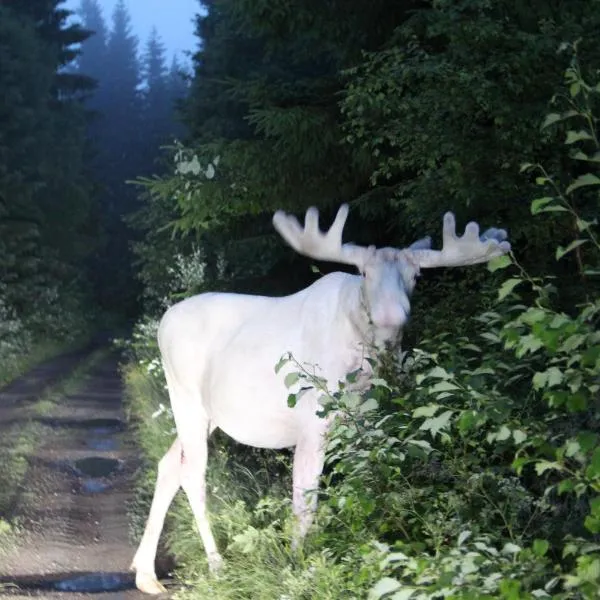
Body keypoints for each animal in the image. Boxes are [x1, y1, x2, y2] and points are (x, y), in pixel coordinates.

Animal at [131, 204, 510, 592]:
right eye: (364, 272)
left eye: (416, 274)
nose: (392, 314)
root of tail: (162, 323)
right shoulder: (313, 421)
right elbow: (305, 500)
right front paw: (296, 566)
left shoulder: (365, 423)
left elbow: (365, 487)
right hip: (186, 397)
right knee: (193, 474)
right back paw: (216, 564)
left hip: (207, 415)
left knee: (168, 465)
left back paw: (145, 572)